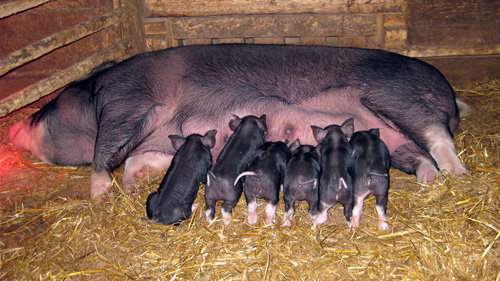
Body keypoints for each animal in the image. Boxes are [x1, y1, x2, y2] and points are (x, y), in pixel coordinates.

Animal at [7, 43, 466, 202]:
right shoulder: (156, 141)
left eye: (45, 108)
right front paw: (134, 189)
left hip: (399, 99)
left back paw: (460, 175)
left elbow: (104, 152)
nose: (11, 128)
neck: (96, 95)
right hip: (389, 136)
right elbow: (139, 161)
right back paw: (431, 181)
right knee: (417, 156)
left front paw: (100, 198)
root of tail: (451, 97)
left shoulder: (127, 102)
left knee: (437, 136)